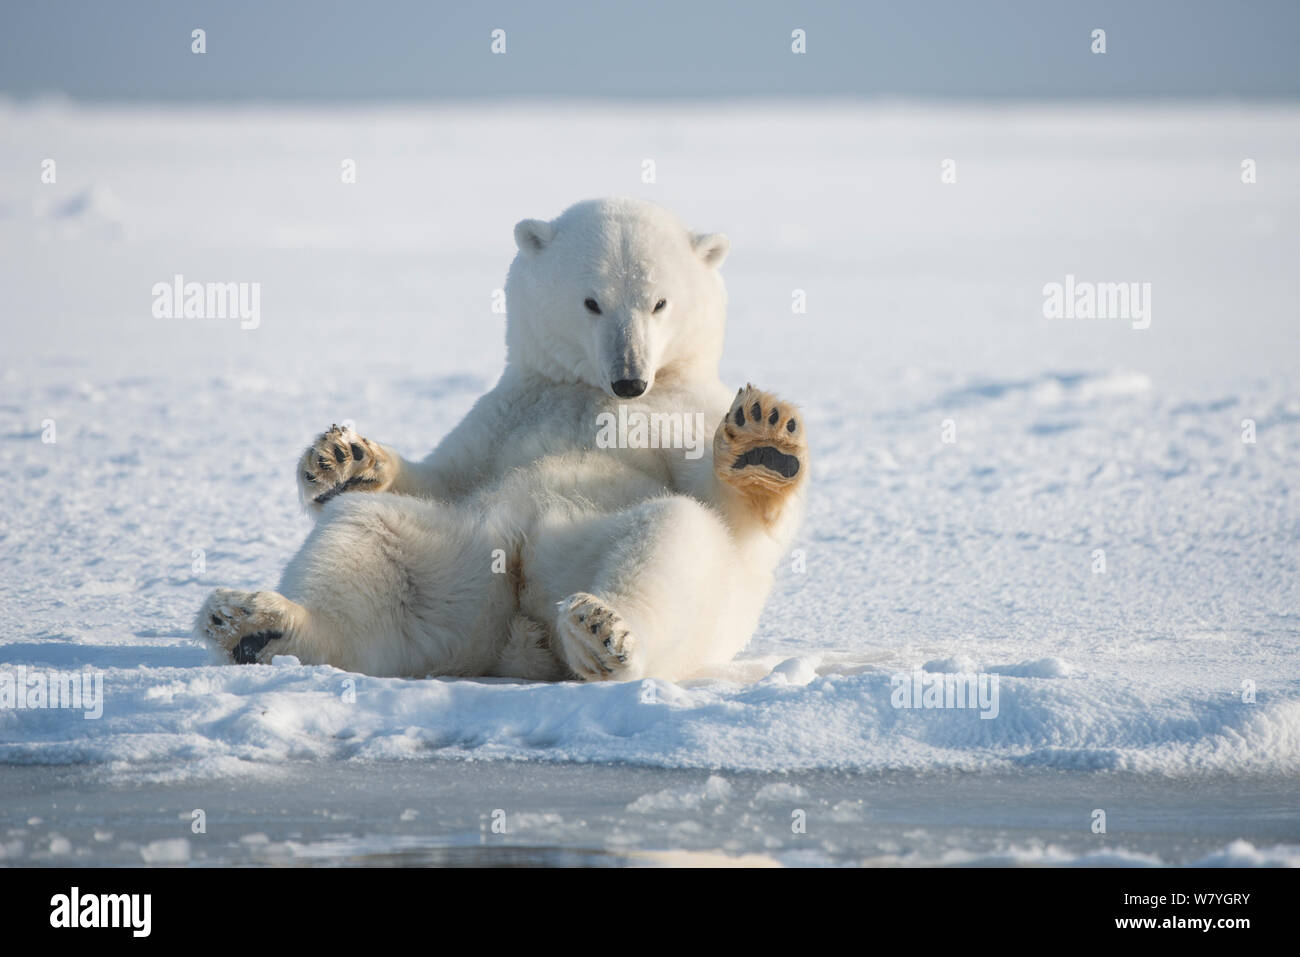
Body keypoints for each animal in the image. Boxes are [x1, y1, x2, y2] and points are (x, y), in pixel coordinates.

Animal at [193, 196, 806, 681]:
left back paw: (601, 631)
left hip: (580, 546)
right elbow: (445, 475)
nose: (629, 379)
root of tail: (521, 633)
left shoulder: (681, 413)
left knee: (671, 533)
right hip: (455, 554)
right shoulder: (509, 410)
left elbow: (730, 515)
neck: (587, 392)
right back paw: (253, 624)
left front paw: (763, 441)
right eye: (592, 301)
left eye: (659, 302)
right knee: (367, 537)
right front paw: (340, 459)